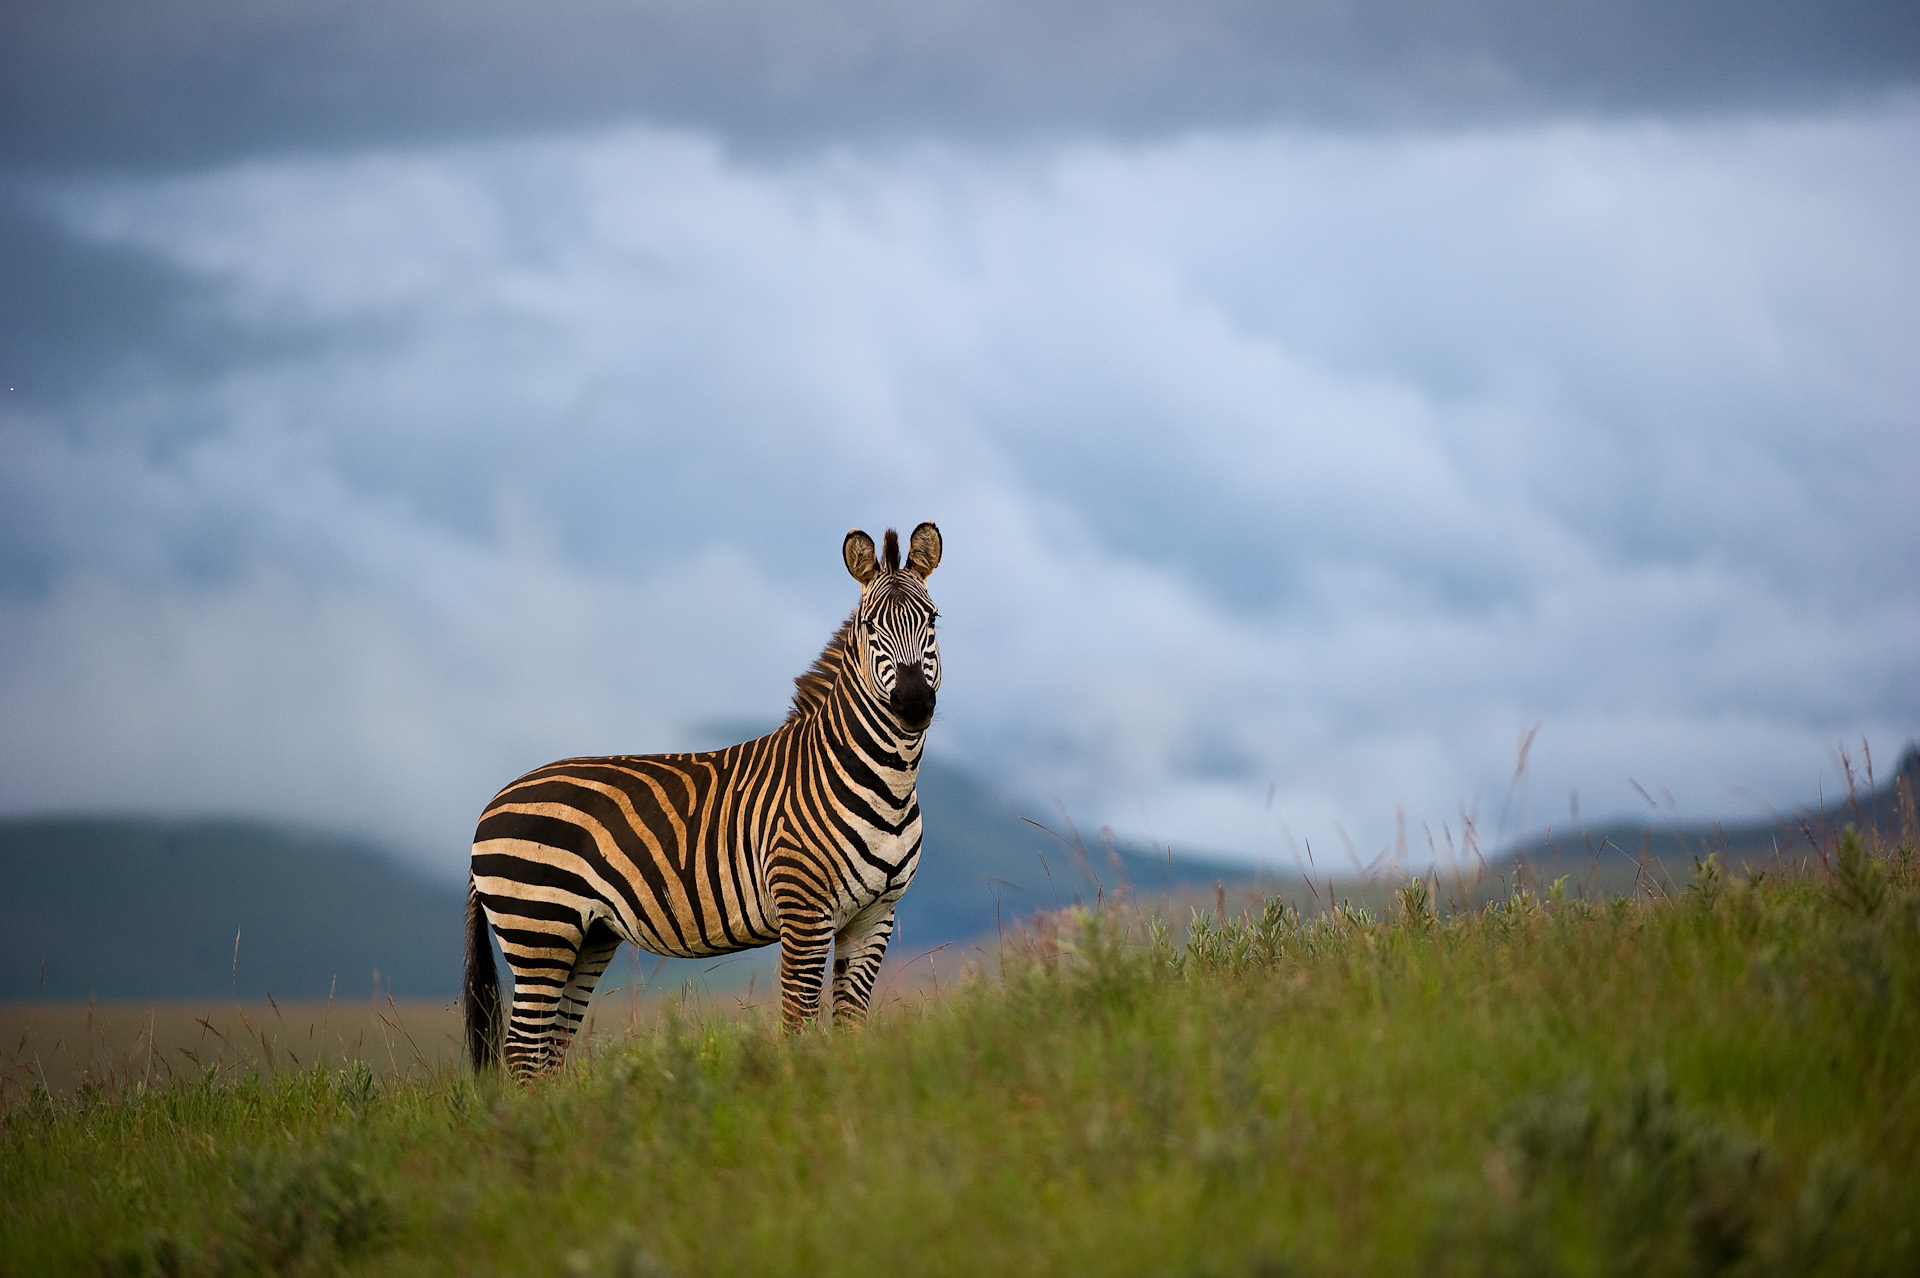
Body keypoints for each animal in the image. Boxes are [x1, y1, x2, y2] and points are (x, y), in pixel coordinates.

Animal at [464, 521, 944, 1066]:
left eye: (933, 620)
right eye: (869, 627)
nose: (913, 703)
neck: (886, 783)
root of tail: (491, 804)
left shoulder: (875, 918)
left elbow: (849, 1029)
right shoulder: (803, 911)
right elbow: (798, 1026)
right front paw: (800, 1084)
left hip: (588, 936)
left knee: (549, 1051)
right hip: (540, 930)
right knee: (524, 1050)